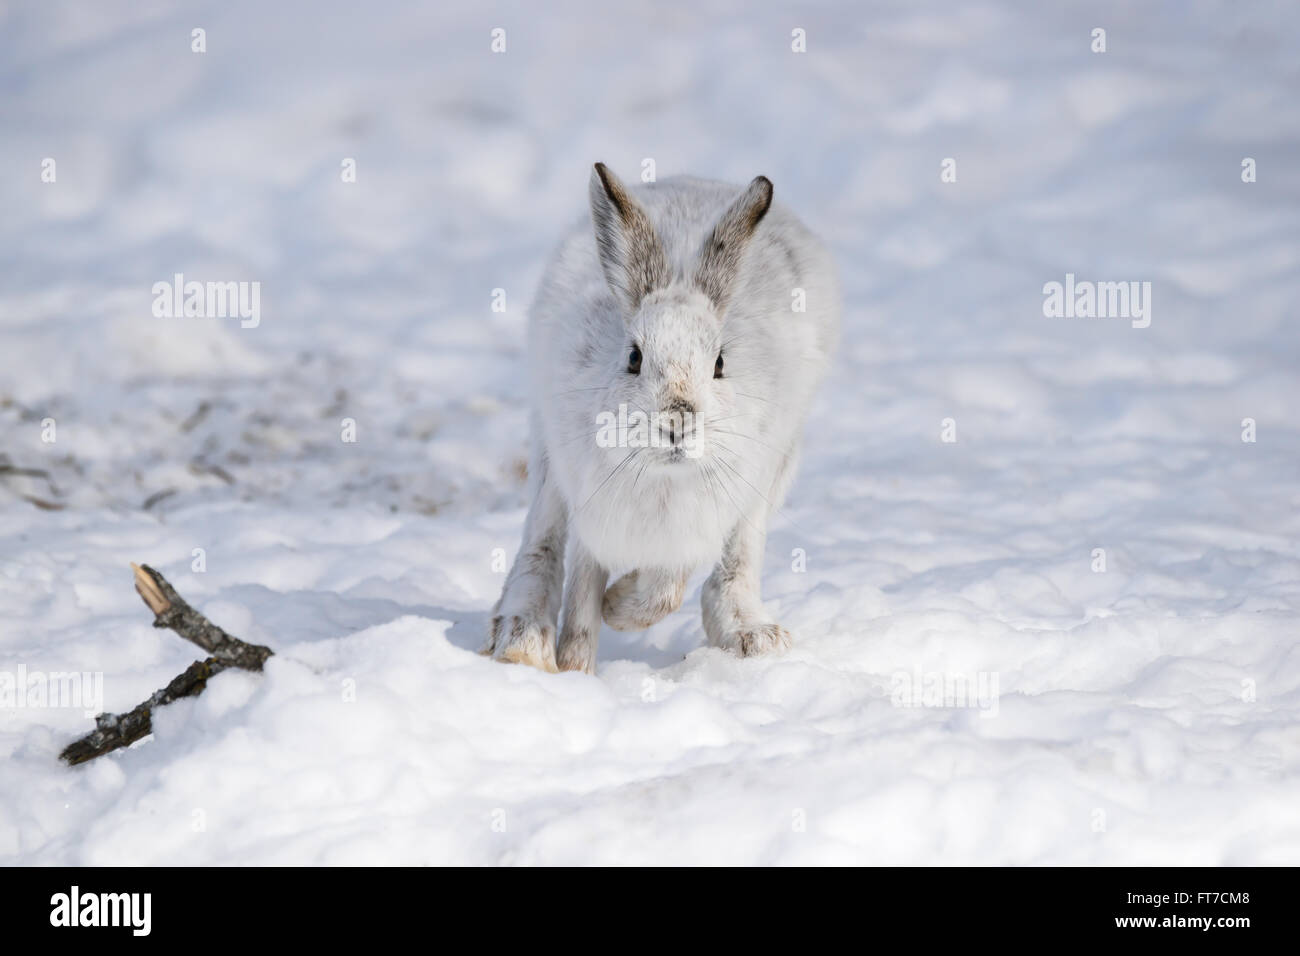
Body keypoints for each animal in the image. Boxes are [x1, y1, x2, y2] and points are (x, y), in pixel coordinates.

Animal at [483, 163, 840, 674]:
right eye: (633, 358)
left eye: (720, 364)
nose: (677, 424)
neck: (662, 477)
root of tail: (698, 181)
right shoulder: (591, 507)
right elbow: (583, 583)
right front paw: (576, 665)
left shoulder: (701, 520)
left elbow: (666, 590)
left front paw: (616, 607)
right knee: (542, 538)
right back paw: (523, 638)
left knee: (732, 566)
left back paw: (752, 636)